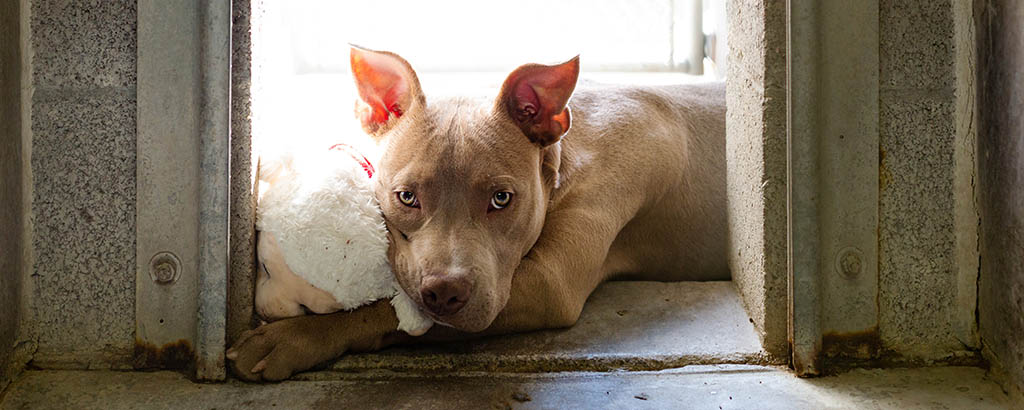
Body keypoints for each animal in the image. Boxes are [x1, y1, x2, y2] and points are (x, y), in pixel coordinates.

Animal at [231, 45, 729, 381]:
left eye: (501, 199)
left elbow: (389, 311)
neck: (563, 156)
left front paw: (294, 337)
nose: (445, 293)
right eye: (406, 197)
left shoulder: (547, 284)